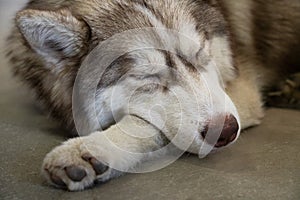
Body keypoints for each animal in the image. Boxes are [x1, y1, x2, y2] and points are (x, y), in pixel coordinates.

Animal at [5, 0, 300, 191]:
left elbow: (144, 124)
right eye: (149, 77)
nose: (226, 130)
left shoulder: (242, 93)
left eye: (200, 53)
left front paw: (93, 147)